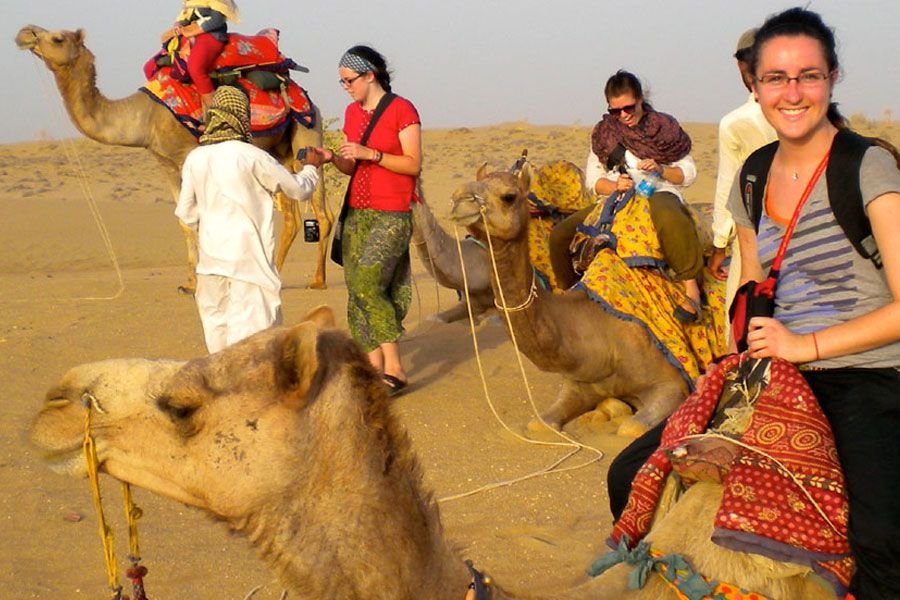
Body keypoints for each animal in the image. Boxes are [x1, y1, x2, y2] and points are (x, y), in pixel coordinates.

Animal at [15, 25, 331, 293]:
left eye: (58, 38)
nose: (25, 33)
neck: (145, 116)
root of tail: (306, 96)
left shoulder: (187, 155)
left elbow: (198, 218)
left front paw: (200, 281)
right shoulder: (165, 162)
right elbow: (184, 221)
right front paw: (189, 283)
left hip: (307, 130)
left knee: (321, 211)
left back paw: (317, 280)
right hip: (278, 151)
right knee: (291, 216)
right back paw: (273, 275)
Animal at [449, 167, 691, 437]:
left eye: (509, 196)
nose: (459, 198)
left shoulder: (672, 384)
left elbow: (631, 428)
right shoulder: (579, 385)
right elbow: (539, 423)